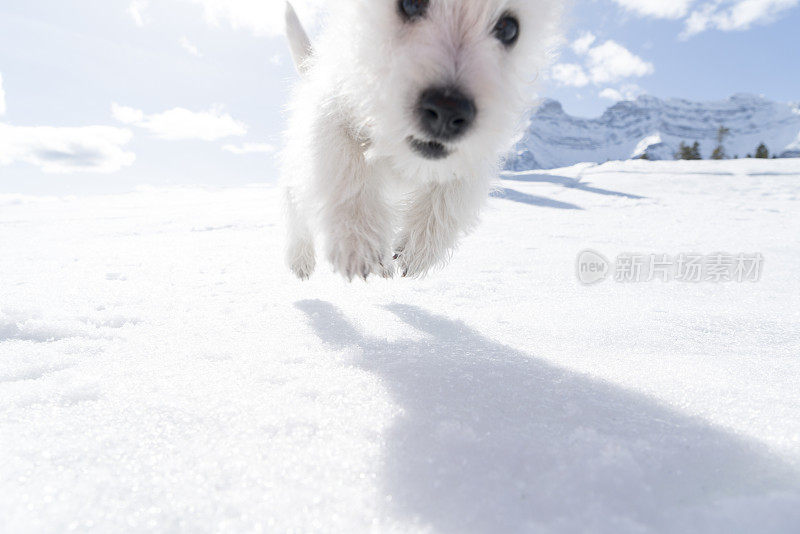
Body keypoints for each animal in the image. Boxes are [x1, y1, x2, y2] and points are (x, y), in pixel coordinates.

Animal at [282, 0, 564, 282]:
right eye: (411, 4)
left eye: (509, 28)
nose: (447, 112)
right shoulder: (332, 110)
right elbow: (346, 168)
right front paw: (357, 240)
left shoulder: (474, 152)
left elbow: (452, 192)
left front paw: (418, 249)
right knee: (296, 209)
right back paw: (301, 259)